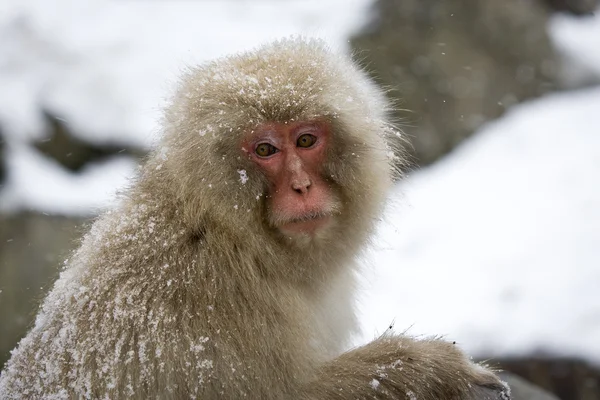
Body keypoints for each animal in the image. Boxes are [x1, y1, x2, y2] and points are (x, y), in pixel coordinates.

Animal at [0, 38, 510, 400]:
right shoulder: (198, 308)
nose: (301, 187)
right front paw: (434, 370)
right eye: (265, 150)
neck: (229, 234)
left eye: (306, 140)